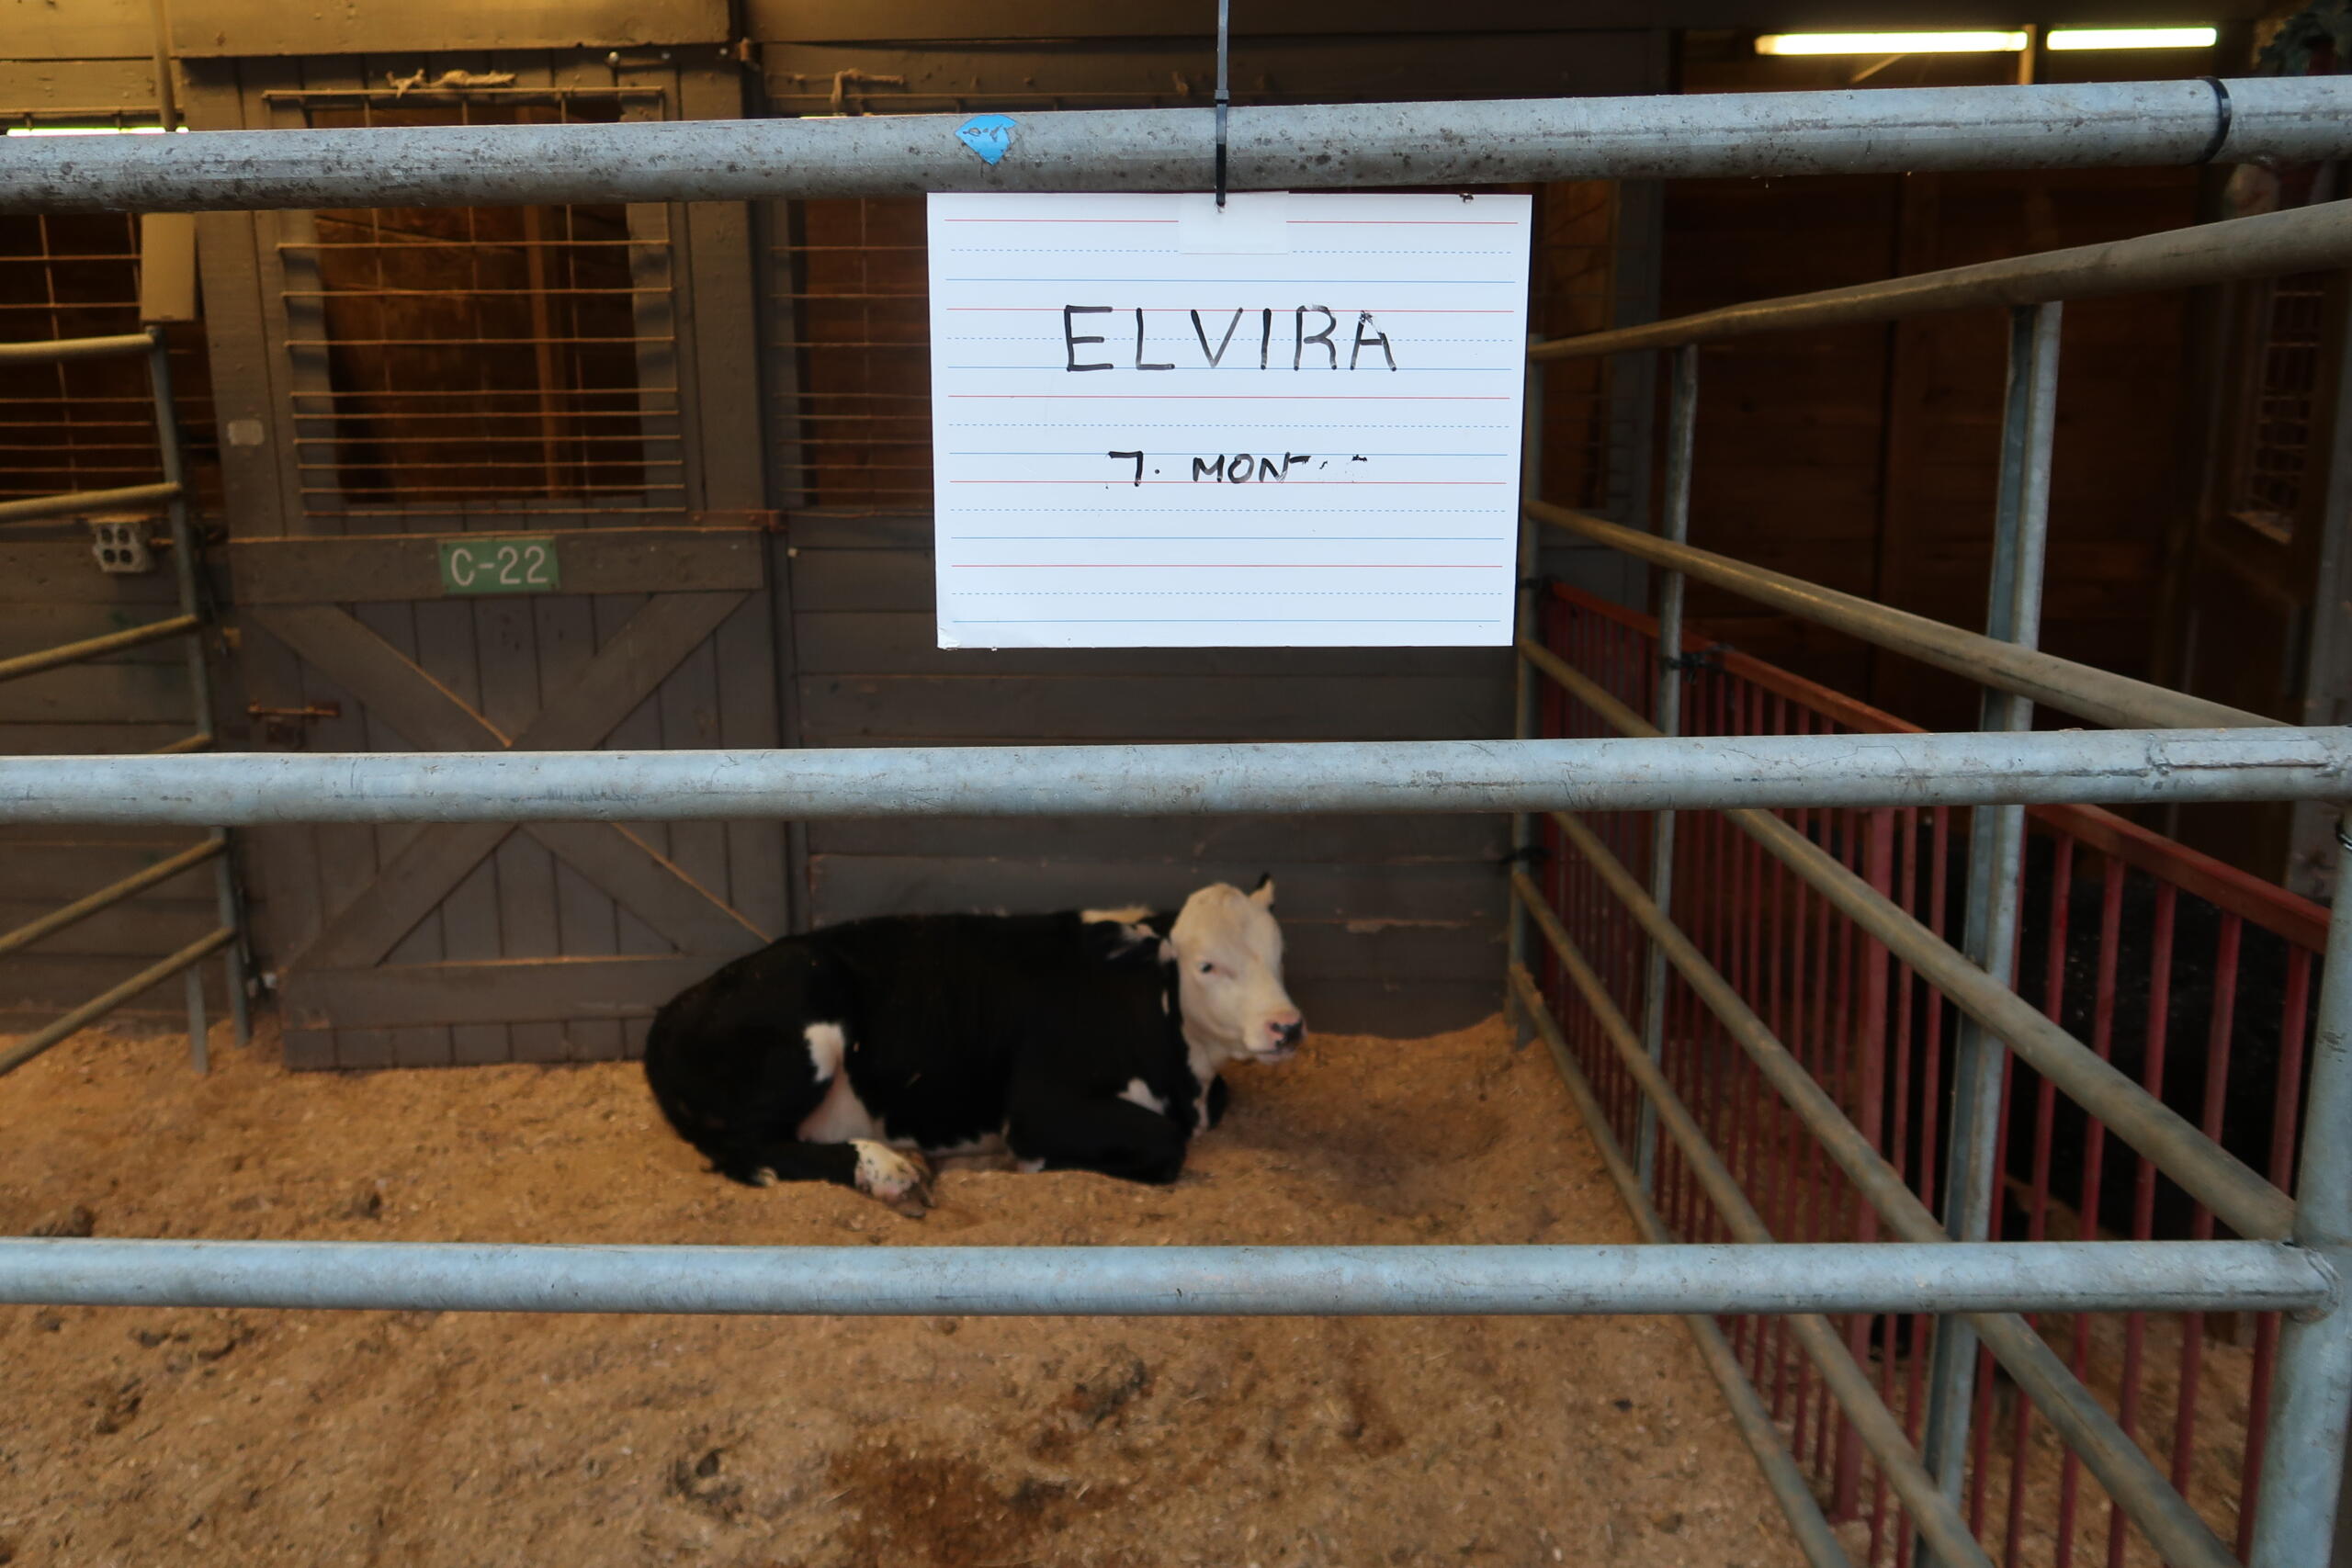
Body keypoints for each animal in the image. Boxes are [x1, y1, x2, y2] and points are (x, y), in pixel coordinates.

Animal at [642, 878, 1304, 1213]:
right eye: (1206, 965)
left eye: (1278, 954)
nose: (1286, 1025)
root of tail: (672, 1009)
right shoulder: (1039, 1109)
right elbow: (1164, 1145)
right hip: (809, 1018)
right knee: (747, 1148)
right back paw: (889, 1169)